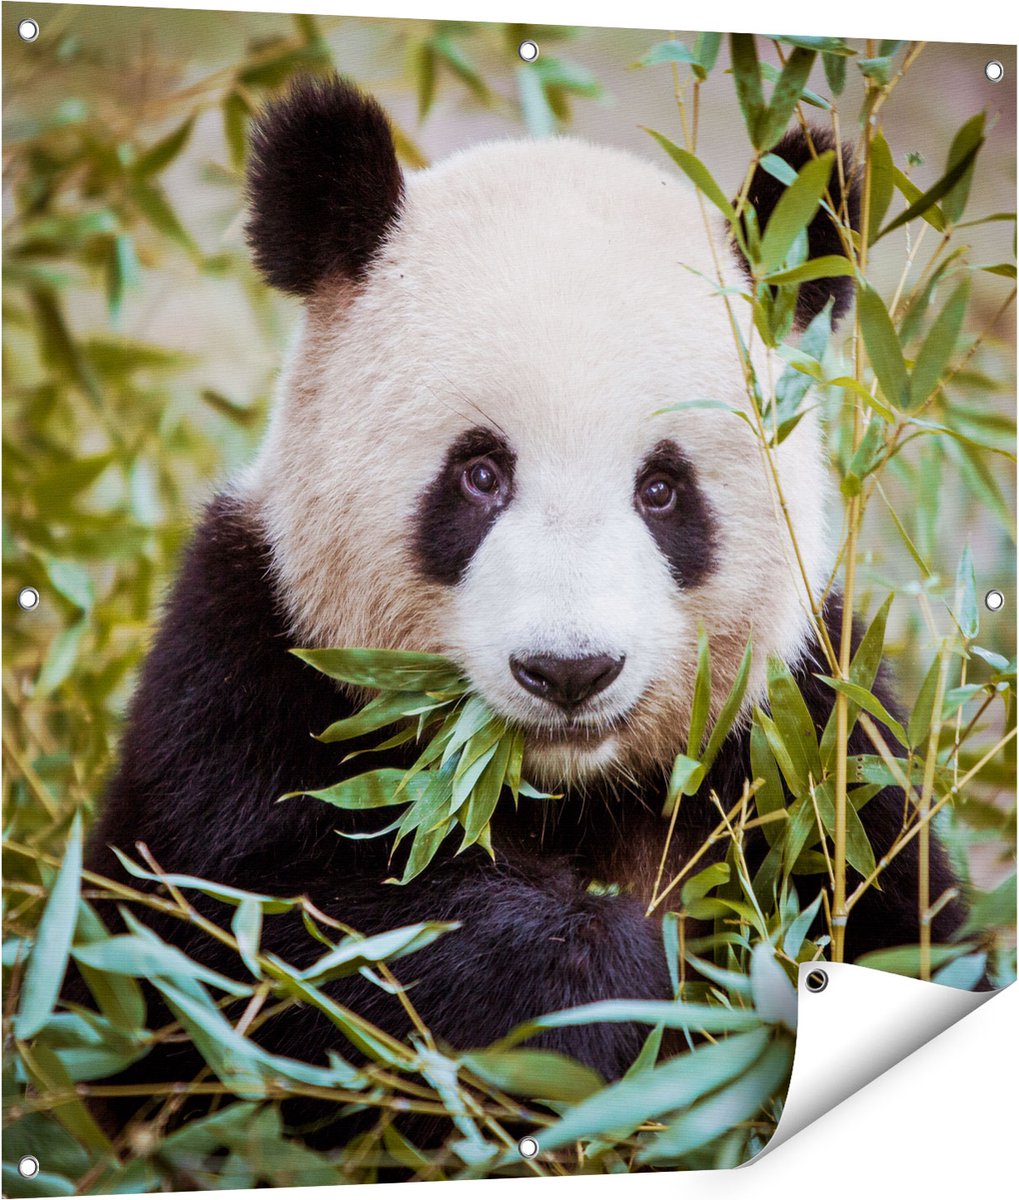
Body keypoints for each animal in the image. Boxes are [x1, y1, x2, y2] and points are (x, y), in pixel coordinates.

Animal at [83, 76, 964, 1140]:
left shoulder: (813, 735)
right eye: (479, 473)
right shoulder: (243, 672)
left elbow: (903, 922)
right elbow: (271, 944)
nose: (569, 670)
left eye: (662, 490)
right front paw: (607, 987)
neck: (559, 790)